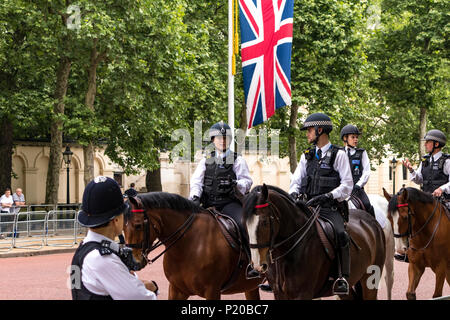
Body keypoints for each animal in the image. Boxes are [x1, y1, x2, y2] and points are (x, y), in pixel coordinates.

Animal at [122, 192, 264, 300]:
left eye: (138, 225)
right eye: (122, 227)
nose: (133, 262)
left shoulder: (212, 291)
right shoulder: (177, 290)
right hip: (250, 286)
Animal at [243, 185, 386, 300]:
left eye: (264, 222)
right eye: (245, 223)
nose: (257, 265)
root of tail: (372, 221)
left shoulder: (303, 294)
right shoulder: (279, 294)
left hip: (370, 282)